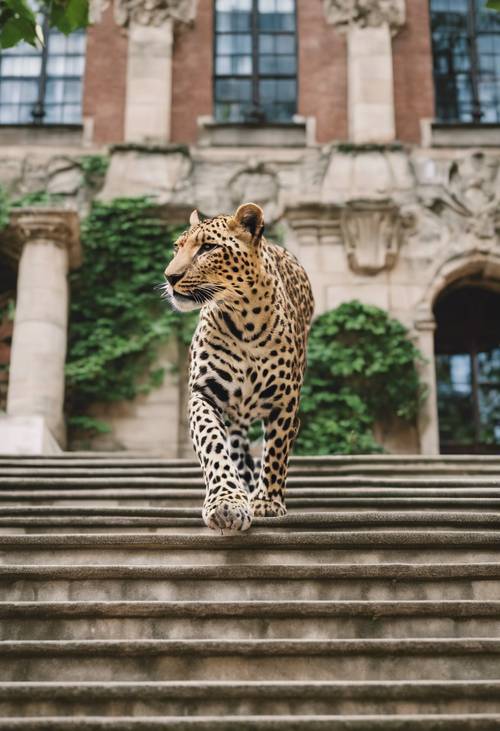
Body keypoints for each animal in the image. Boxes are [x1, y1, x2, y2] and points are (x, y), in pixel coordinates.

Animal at [163, 203, 312, 536]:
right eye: (178, 247)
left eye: (207, 248)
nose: (170, 276)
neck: (244, 321)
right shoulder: (204, 395)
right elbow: (213, 443)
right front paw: (227, 502)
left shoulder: (284, 404)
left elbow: (275, 452)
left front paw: (267, 502)